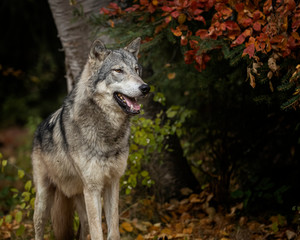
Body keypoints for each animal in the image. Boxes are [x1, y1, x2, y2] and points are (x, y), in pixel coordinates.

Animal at [31, 38, 150, 240]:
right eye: (118, 70)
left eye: (136, 69)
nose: (145, 88)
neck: (108, 132)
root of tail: (38, 129)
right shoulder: (93, 188)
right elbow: (98, 233)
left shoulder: (112, 183)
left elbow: (113, 231)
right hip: (44, 201)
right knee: (39, 230)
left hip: (82, 206)